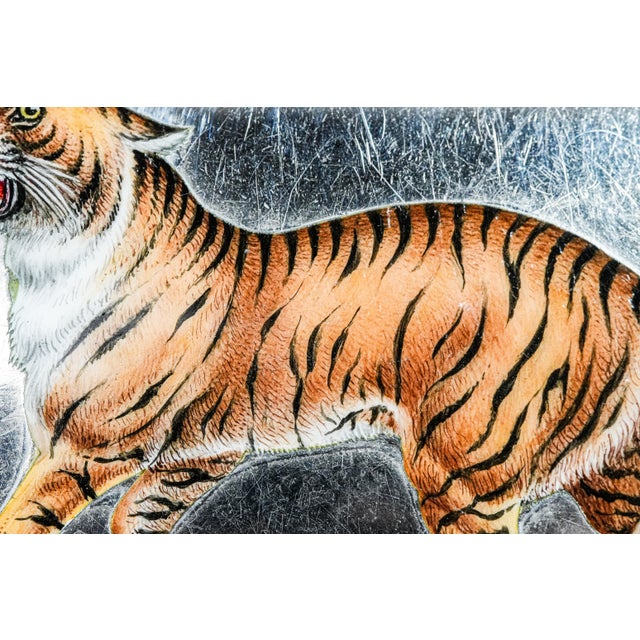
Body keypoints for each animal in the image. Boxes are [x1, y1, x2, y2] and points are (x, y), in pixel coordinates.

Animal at [0, 106, 639, 534]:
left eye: (28, 110)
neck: (42, 264)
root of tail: (611, 270)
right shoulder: (192, 459)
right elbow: (134, 519)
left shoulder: (90, 445)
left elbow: (21, 518)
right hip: (613, 479)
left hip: (462, 474)